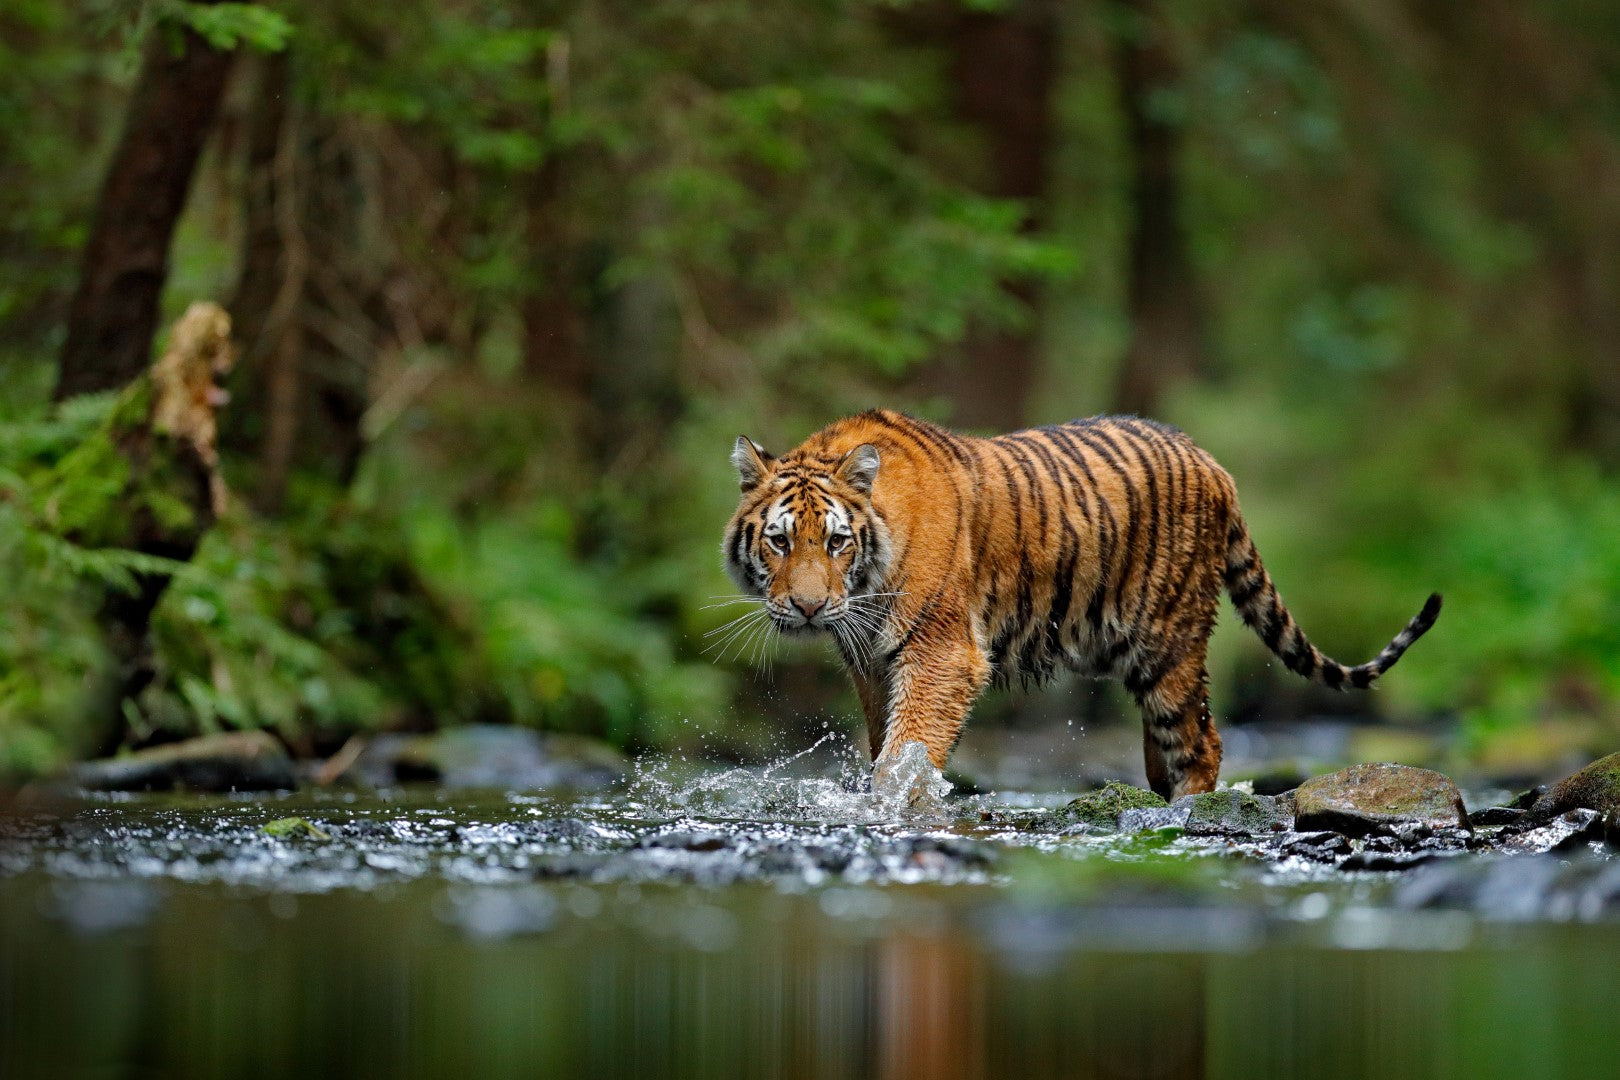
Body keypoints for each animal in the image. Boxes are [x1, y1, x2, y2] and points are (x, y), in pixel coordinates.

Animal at [720, 409, 1441, 800]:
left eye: (836, 541)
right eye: (780, 541)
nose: (808, 608)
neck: (866, 585)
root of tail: (1213, 463)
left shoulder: (941, 654)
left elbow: (908, 751)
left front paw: (896, 806)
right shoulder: (872, 664)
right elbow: (885, 746)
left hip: (1169, 643)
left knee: (1201, 741)